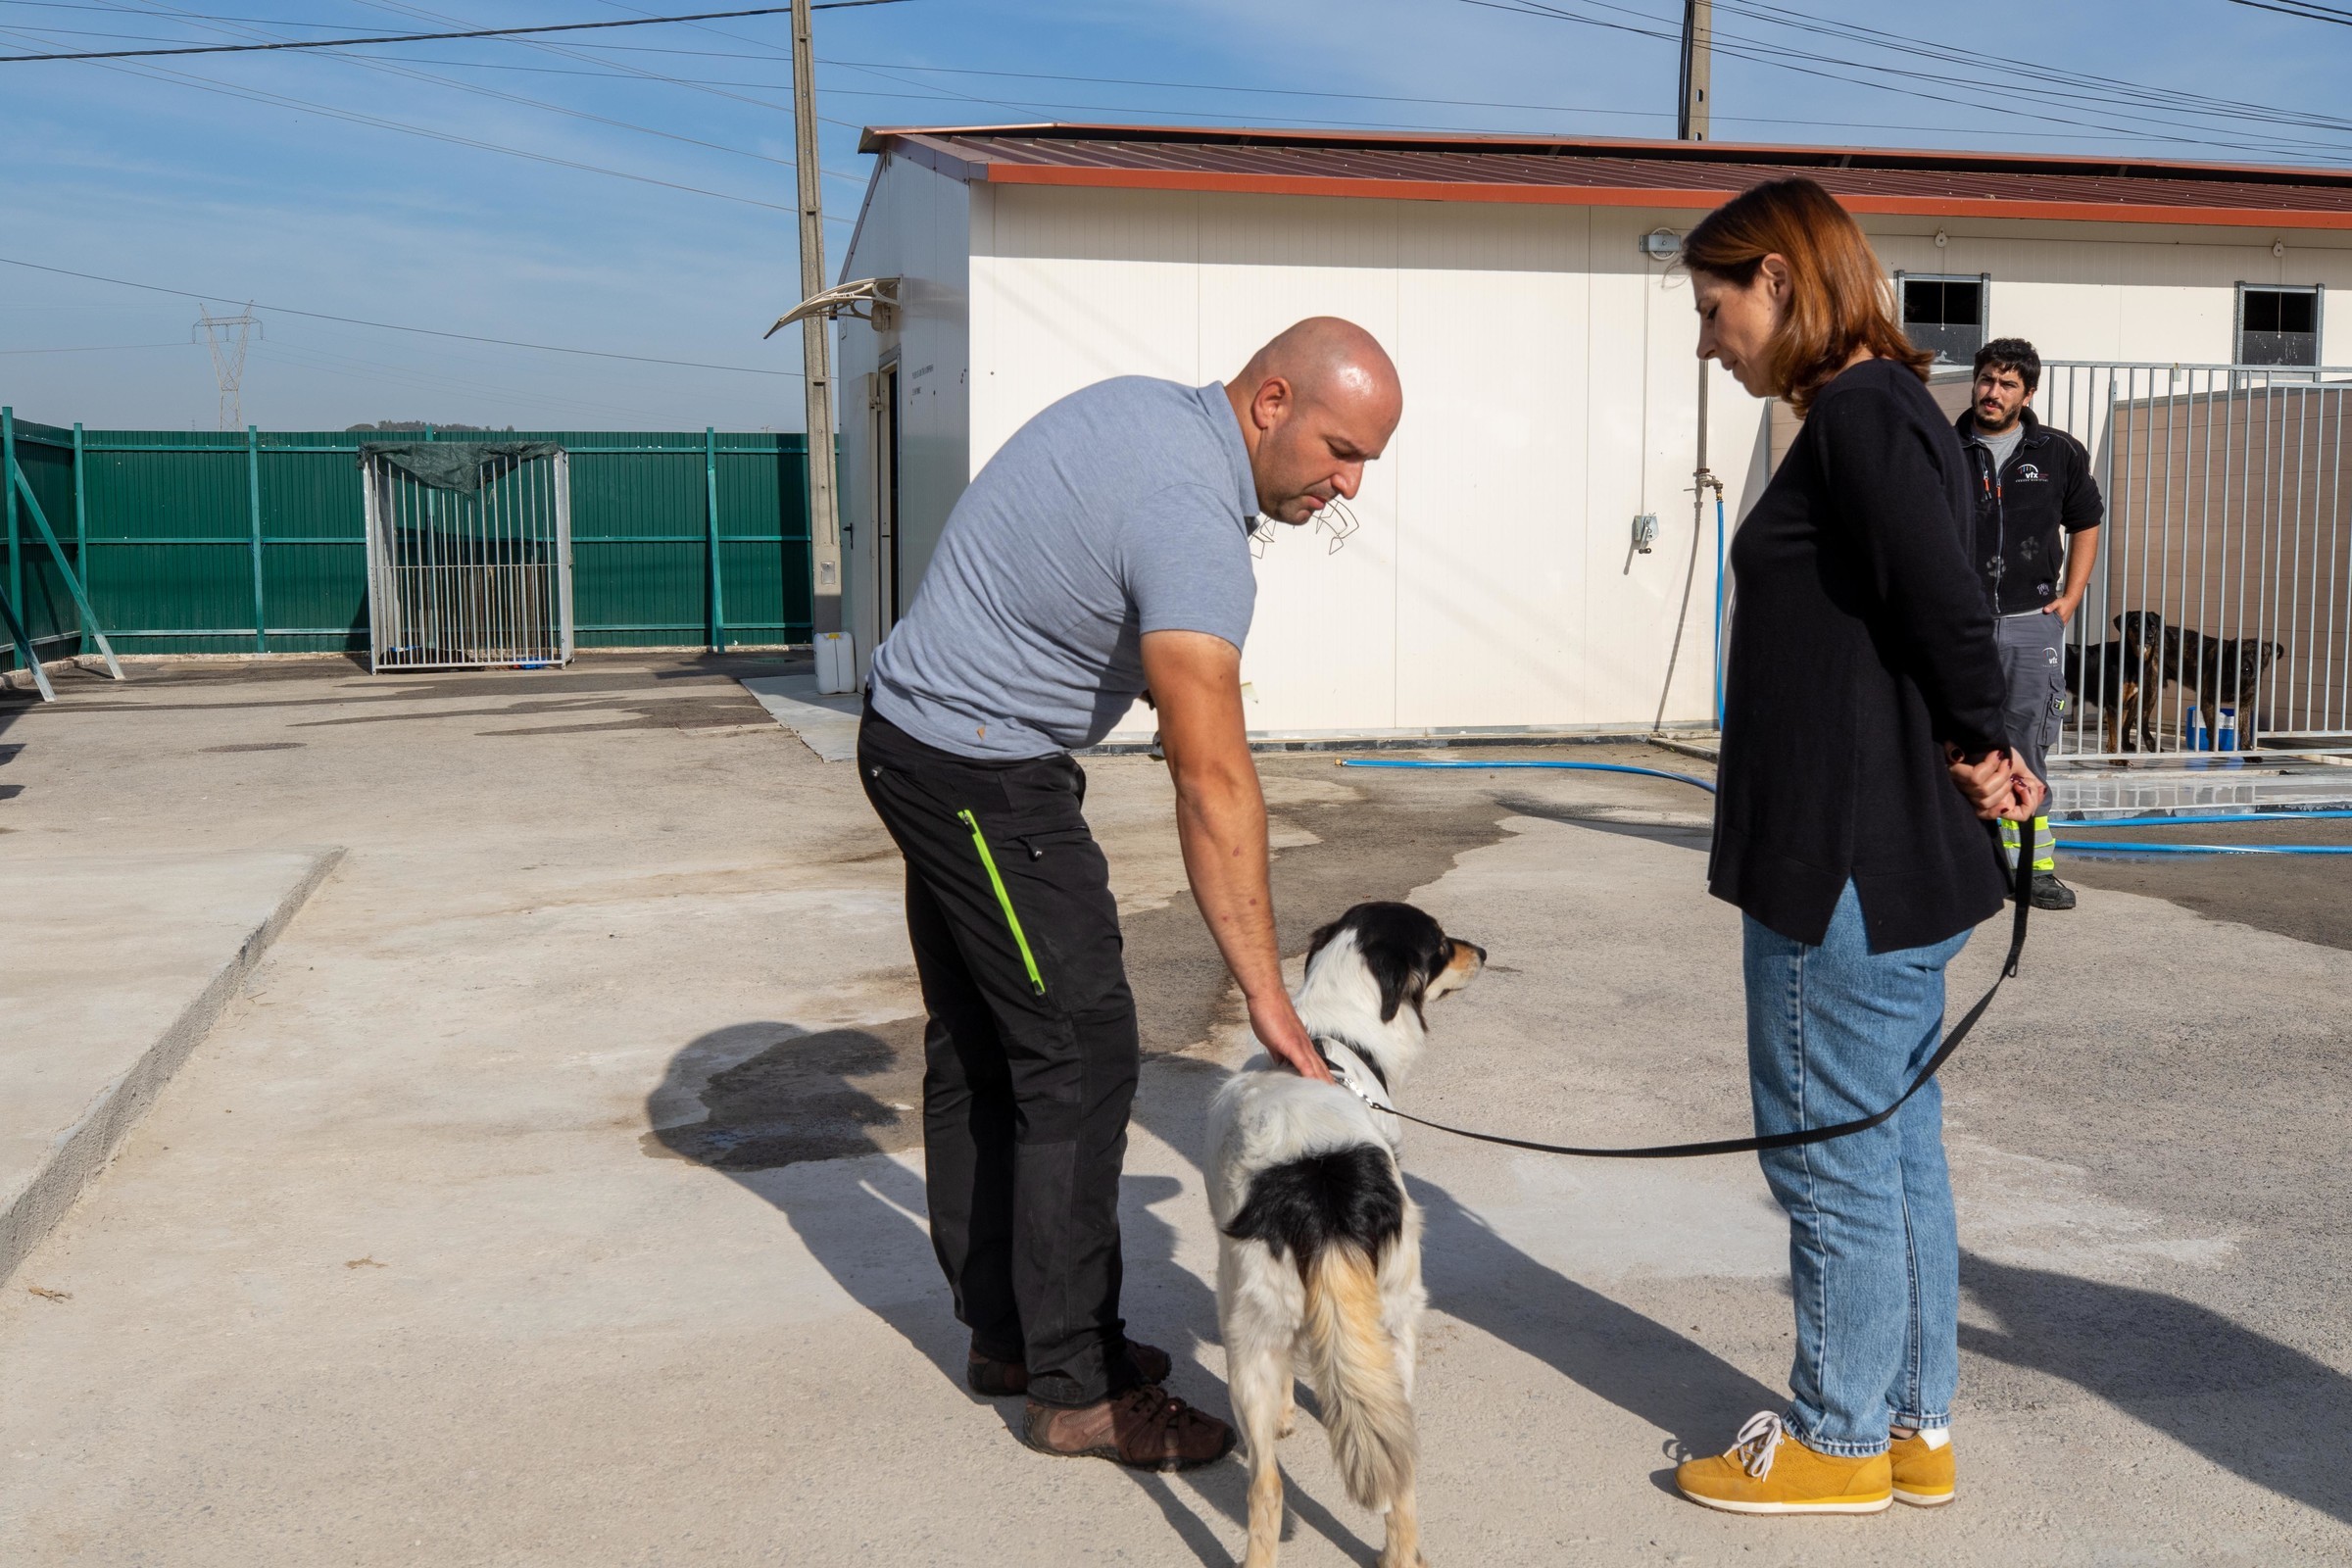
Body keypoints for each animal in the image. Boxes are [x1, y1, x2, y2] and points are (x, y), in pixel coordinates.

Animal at [1203, 903, 1477, 1568]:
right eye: (1442, 944)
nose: (1482, 952)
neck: (1333, 1036)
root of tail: (1322, 1179)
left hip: (1249, 1327)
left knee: (1267, 1485)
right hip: (1394, 1319)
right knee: (1395, 1466)